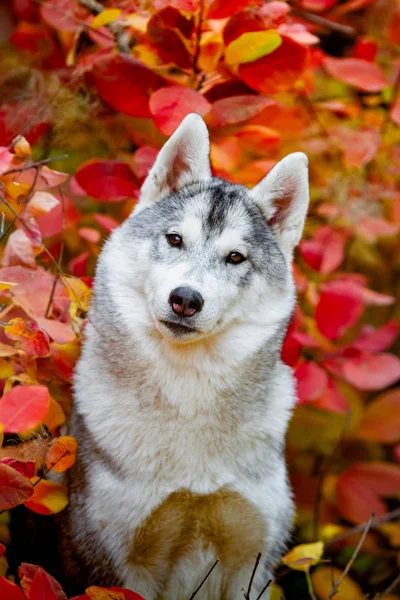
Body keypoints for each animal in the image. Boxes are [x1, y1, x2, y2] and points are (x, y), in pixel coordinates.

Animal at [60, 113, 310, 600]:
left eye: (235, 257)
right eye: (175, 239)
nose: (186, 299)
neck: (189, 397)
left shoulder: (252, 563)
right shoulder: (118, 566)